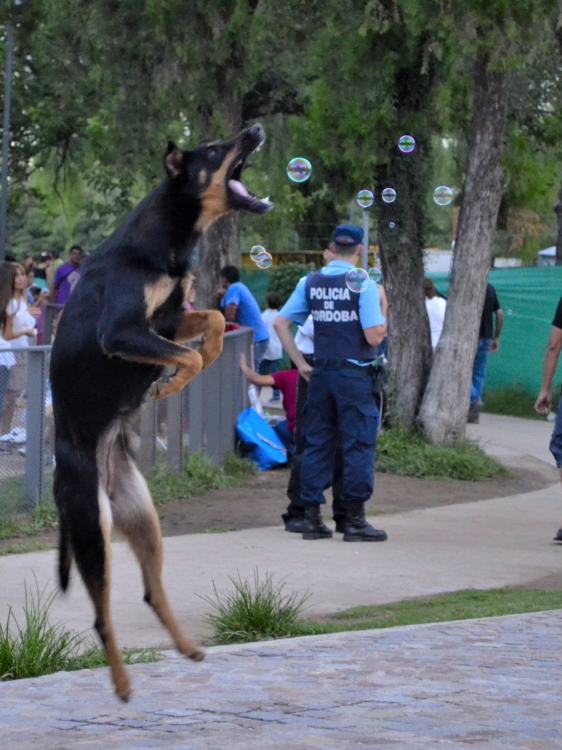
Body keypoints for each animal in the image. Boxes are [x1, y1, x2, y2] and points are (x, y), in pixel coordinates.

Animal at [49, 120, 272, 704]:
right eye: (214, 149)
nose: (256, 127)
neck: (169, 238)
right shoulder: (124, 331)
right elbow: (190, 353)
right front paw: (173, 383)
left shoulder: (170, 319)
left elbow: (213, 324)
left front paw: (192, 367)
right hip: (93, 530)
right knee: (102, 615)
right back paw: (122, 683)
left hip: (143, 521)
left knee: (151, 593)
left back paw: (187, 647)